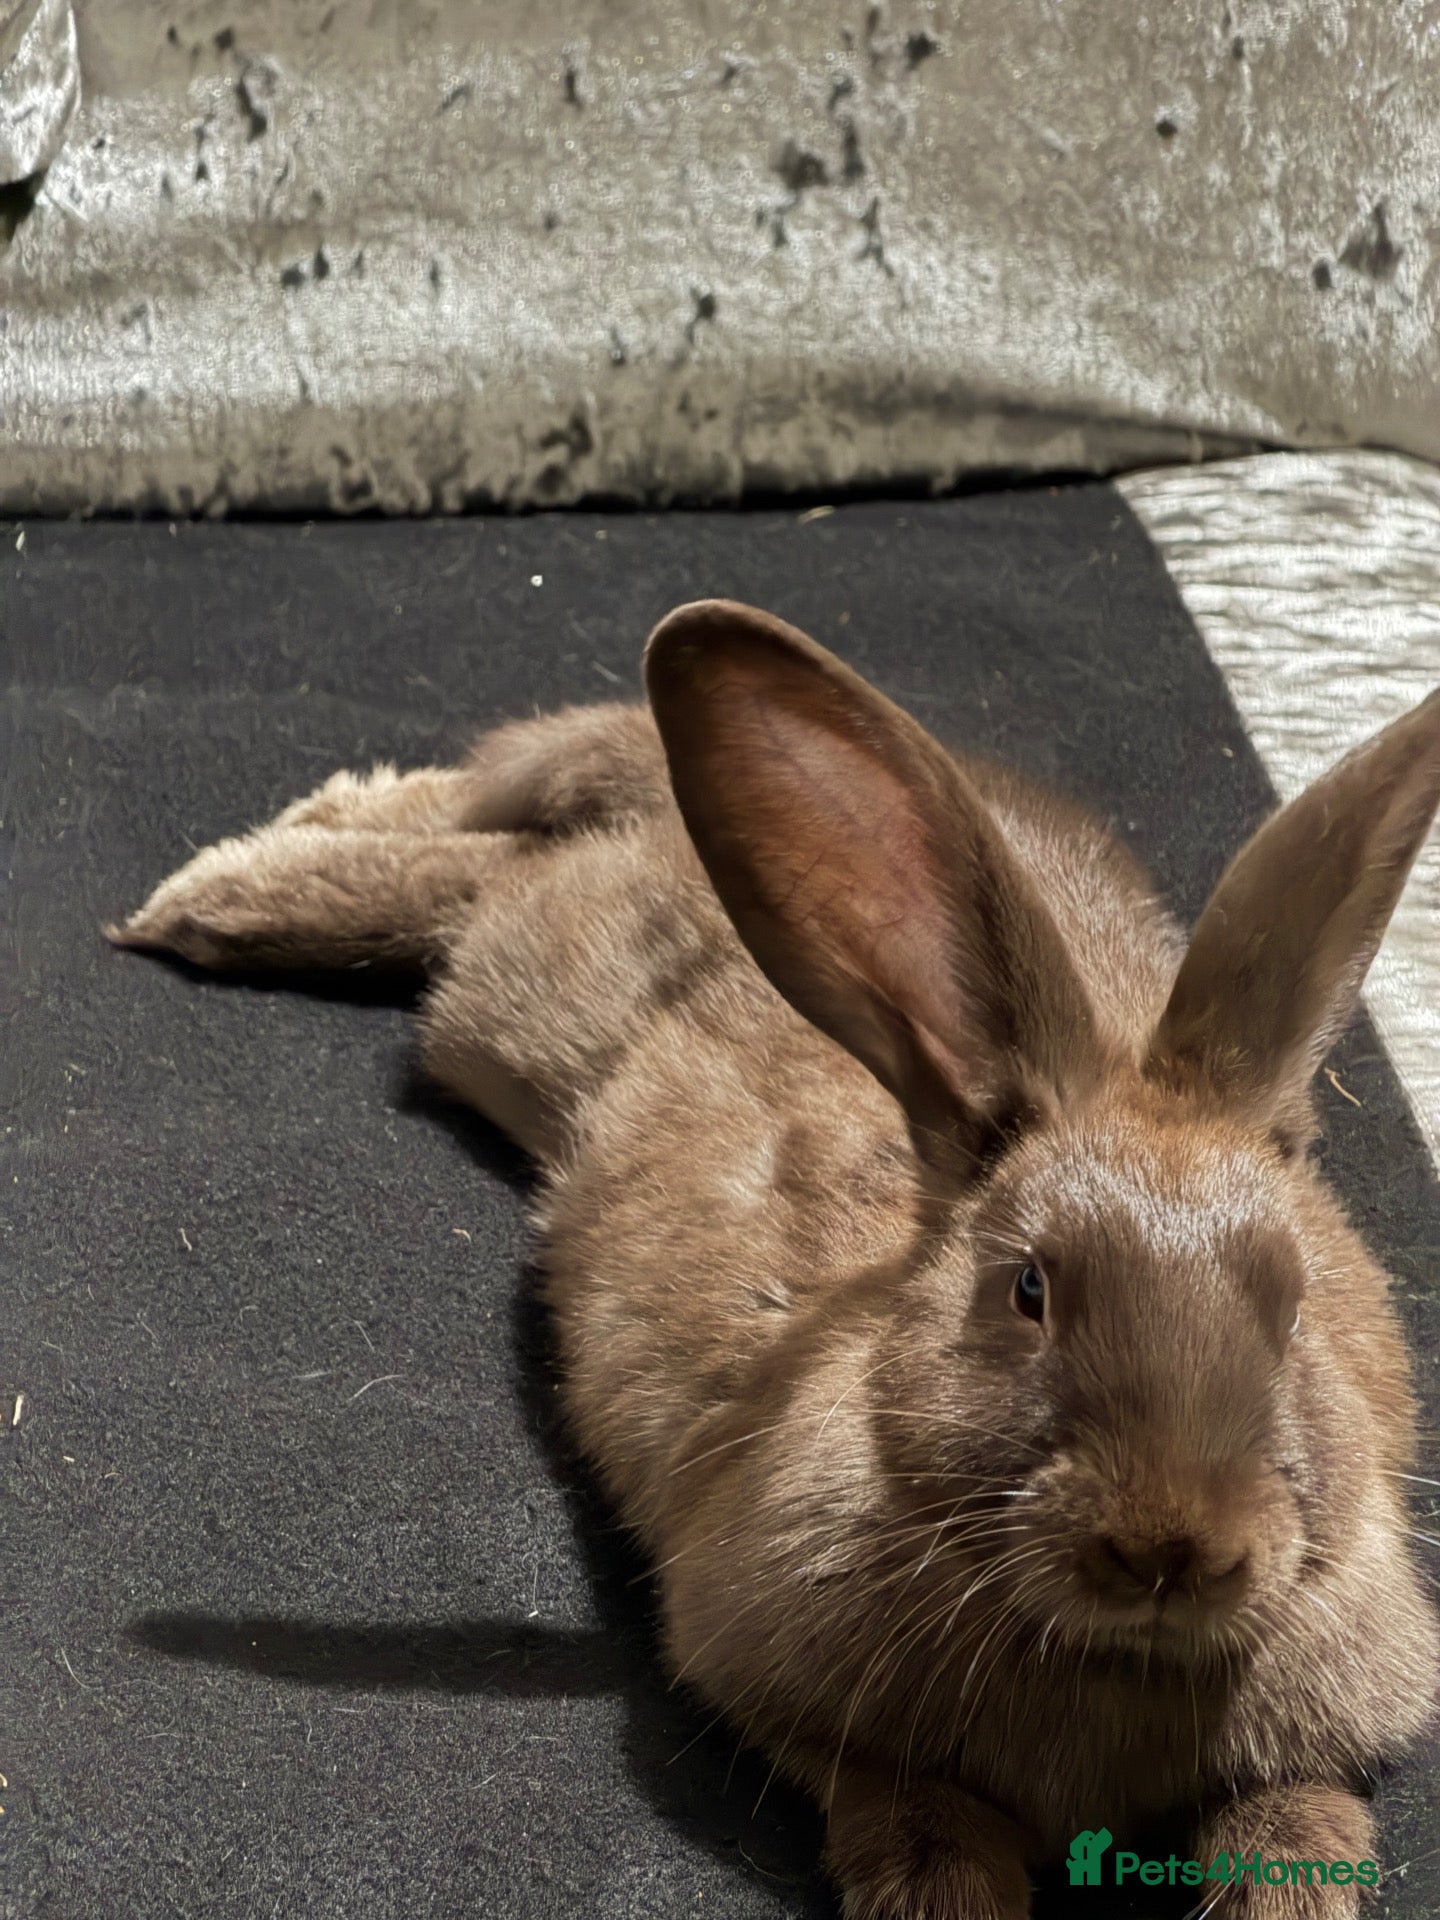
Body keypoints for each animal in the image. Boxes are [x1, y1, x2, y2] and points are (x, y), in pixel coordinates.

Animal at [108, 598, 1440, 1920]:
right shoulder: (814, 1711)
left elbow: (1294, 1830)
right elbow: (919, 1827)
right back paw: (215, 897)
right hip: (523, 979)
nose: (1174, 1547)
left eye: (1295, 1301)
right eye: (1028, 1289)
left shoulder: (1313, 1747)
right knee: (489, 859)